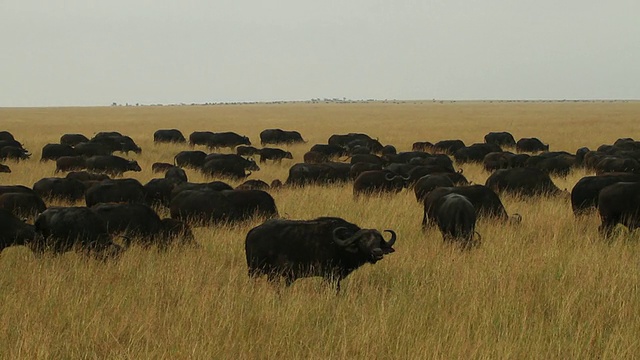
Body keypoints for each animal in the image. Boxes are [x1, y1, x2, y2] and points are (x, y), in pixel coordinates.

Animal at [245, 217, 396, 292]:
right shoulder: (330, 275)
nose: (377, 252)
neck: (339, 244)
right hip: (255, 271)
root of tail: (252, 232)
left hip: (272, 274)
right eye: (363, 240)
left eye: (378, 240)